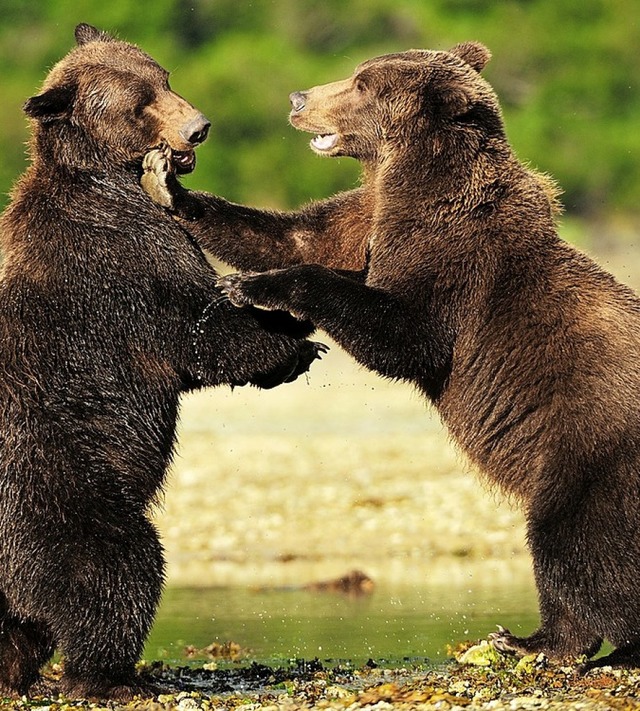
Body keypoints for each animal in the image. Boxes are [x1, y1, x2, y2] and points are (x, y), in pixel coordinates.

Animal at [0, 22, 322, 700]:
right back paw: (108, 677)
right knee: (116, 569)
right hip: (63, 495)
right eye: (139, 102)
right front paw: (293, 343)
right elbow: (191, 330)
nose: (198, 127)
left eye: (164, 78)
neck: (109, 176)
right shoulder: (118, 258)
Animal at [141, 43, 640, 668]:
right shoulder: (370, 212)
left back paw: (550, 640)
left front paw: (252, 286)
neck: (410, 177)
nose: (298, 98)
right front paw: (170, 186)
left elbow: (405, 335)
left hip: (589, 452)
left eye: (360, 83)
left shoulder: (453, 262)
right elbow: (293, 236)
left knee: (569, 542)